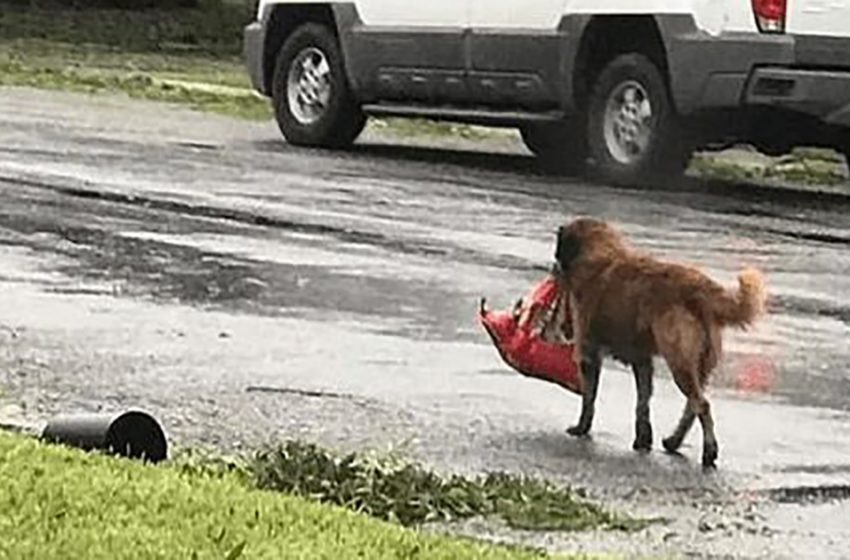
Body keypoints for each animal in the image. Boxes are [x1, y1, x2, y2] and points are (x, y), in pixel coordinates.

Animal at [552, 217, 764, 466]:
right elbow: (643, 403)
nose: (554, 268)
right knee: (693, 406)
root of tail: (699, 287)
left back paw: (708, 451)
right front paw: (643, 440)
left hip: (679, 363)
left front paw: (581, 428)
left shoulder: (589, 354)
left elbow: (589, 399)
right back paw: (673, 441)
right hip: (699, 366)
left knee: (702, 405)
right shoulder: (642, 361)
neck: (601, 253)